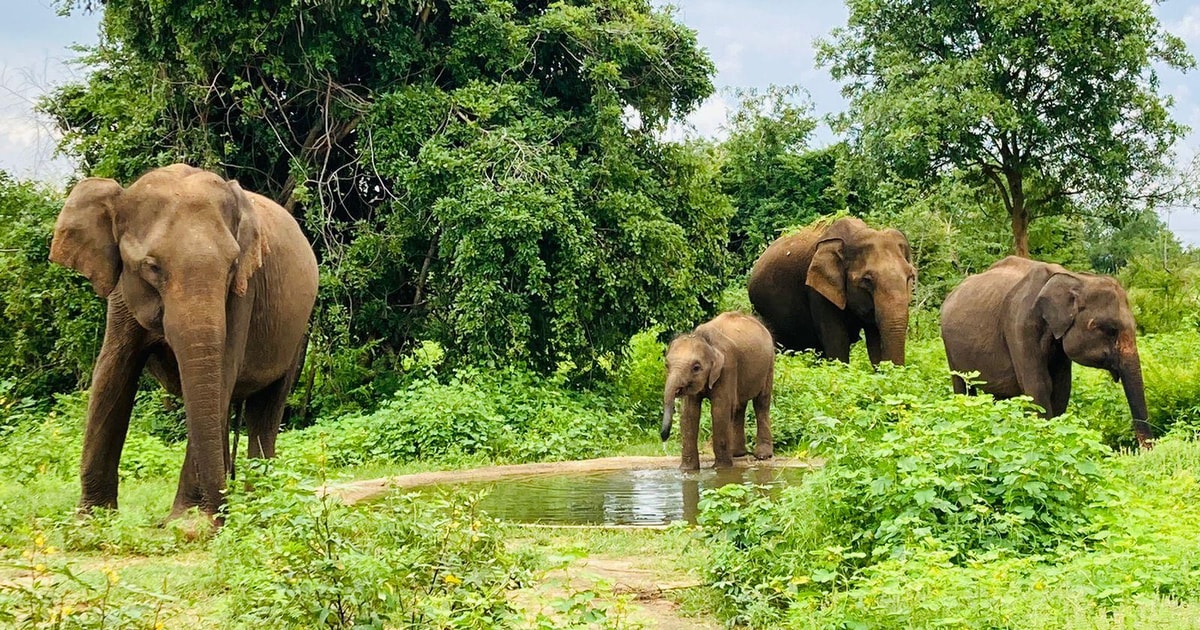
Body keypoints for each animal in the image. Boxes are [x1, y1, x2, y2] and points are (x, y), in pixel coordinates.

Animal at [50, 163, 319, 520]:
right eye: (151, 267)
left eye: (233, 265)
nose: (221, 517)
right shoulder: (122, 291)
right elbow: (113, 372)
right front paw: (90, 520)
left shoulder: (244, 292)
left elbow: (221, 373)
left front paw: (188, 523)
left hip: (296, 333)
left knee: (265, 410)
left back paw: (258, 501)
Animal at [662, 312, 772, 468]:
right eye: (667, 365)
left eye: (696, 367)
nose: (663, 437)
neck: (707, 341)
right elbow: (689, 413)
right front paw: (687, 470)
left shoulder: (727, 367)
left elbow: (720, 409)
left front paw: (721, 469)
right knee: (739, 405)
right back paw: (736, 454)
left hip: (769, 364)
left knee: (761, 403)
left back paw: (762, 456)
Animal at [936, 255, 1152, 446]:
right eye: (1110, 329)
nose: (1144, 450)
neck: (1074, 278)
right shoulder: (1020, 326)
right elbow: (1038, 386)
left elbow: (1061, 387)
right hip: (949, 346)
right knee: (962, 386)